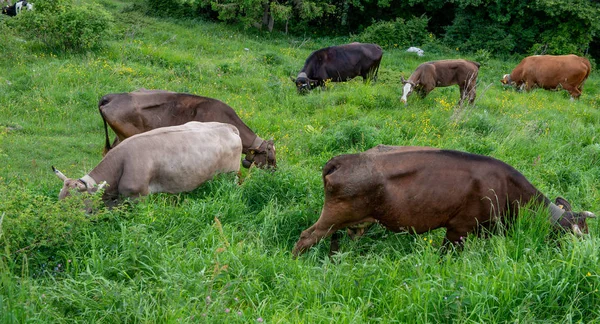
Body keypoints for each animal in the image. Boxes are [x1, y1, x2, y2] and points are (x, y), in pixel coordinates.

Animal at [292, 146, 596, 256]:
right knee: (306, 237)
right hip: (333, 217)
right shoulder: (458, 229)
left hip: (351, 222)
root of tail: (341, 159)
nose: (586, 257)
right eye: (574, 235)